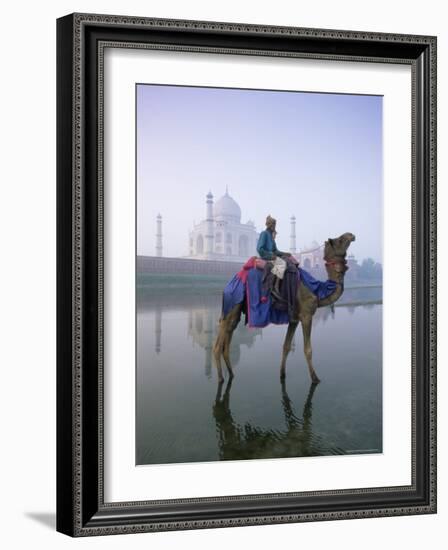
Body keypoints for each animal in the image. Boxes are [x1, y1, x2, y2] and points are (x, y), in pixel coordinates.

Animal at [212, 233, 356, 384]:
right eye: (340, 240)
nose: (351, 235)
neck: (317, 290)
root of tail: (228, 285)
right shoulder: (306, 315)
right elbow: (308, 349)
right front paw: (315, 378)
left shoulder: (294, 318)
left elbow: (286, 346)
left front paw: (282, 374)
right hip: (232, 301)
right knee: (218, 344)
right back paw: (221, 378)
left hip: (236, 307)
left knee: (229, 333)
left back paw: (231, 374)